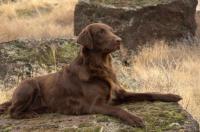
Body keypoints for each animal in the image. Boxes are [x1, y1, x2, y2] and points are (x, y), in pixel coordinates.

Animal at [0, 23, 181, 127]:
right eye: (100, 32)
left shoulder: (121, 94)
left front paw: (171, 95)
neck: (101, 67)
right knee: (12, 111)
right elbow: (118, 110)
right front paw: (135, 119)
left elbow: (149, 93)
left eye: (112, 31)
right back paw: (28, 114)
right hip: (27, 85)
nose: (119, 40)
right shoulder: (94, 105)